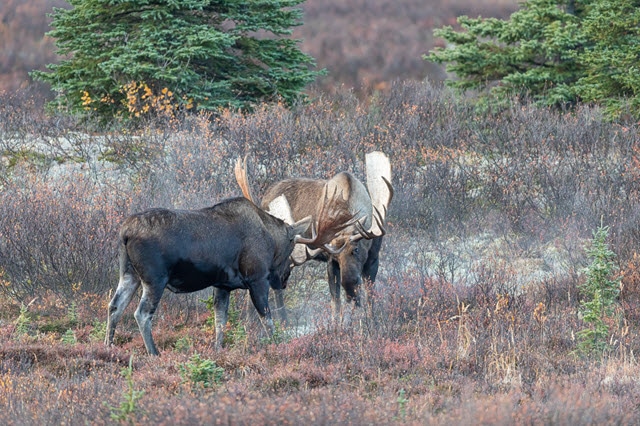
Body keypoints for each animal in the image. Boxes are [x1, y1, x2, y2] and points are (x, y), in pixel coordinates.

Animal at [107, 195, 352, 354]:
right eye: (291, 247)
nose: (282, 280)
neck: (271, 238)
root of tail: (125, 233)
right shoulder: (257, 279)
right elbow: (267, 319)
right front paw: (275, 345)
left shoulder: (222, 285)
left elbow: (220, 320)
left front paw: (218, 349)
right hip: (154, 279)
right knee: (141, 313)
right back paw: (154, 352)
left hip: (129, 274)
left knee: (114, 306)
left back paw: (108, 347)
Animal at [235, 151, 392, 322]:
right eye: (335, 257)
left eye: (356, 250)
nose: (350, 287)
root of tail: (262, 200)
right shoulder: (330, 262)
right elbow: (335, 303)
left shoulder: (373, 258)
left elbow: (371, 299)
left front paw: (371, 322)